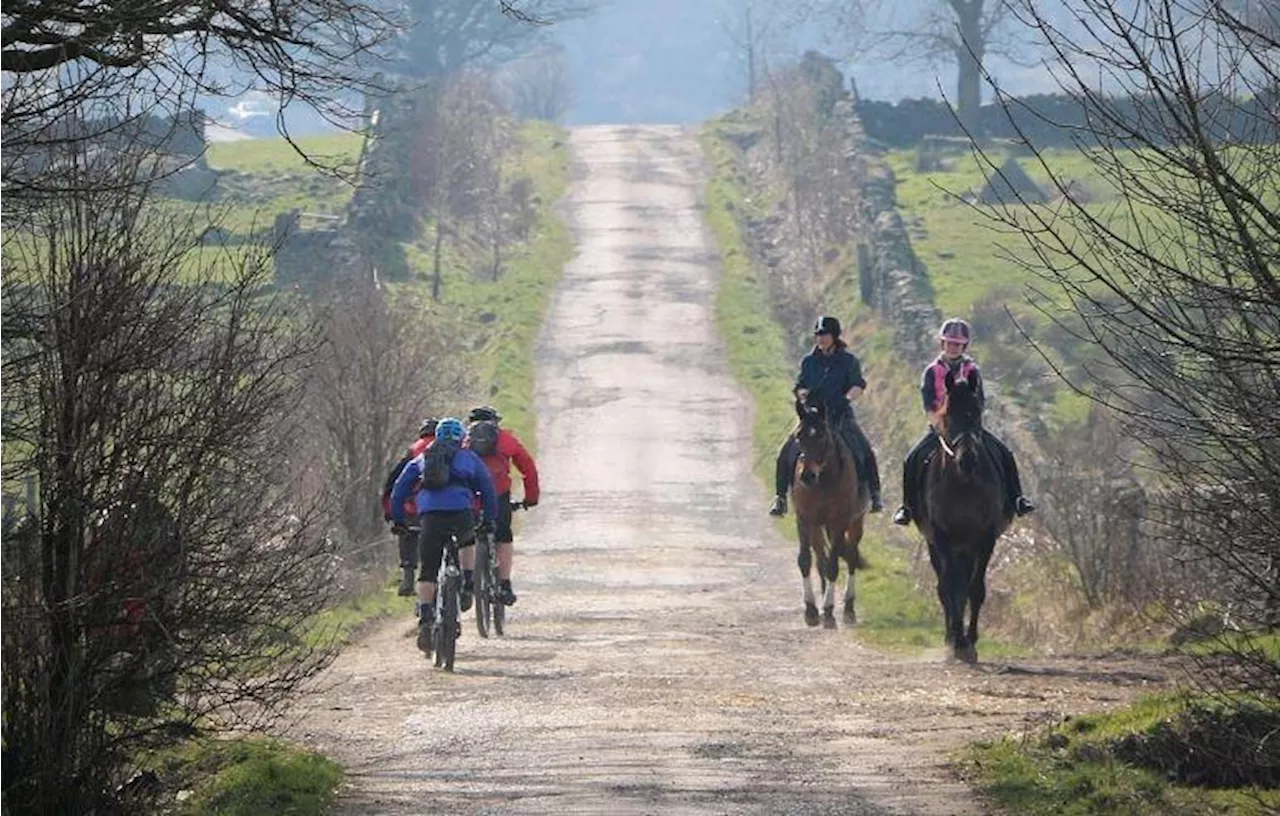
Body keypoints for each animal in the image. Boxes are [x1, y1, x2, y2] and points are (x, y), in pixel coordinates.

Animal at [788, 399, 870, 634]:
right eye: (799, 435)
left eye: (823, 436)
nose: (806, 476)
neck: (823, 480)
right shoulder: (804, 518)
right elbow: (805, 561)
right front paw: (811, 611)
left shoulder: (840, 521)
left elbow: (834, 566)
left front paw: (830, 612)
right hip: (818, 526)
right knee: (820, 559)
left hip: (854, 523)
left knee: (851, 557)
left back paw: (848, 609)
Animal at [916, 370, 1013, 665]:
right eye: (948, 414)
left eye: (977, 412)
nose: (967, 460)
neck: (963, 483)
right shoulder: (942, 537)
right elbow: (950, 587)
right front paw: (958, 641)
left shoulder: (985, 538)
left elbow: (975, 589)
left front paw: (970, 642)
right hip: (936, 545)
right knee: (945, 588)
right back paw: (950, 638)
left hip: (967, 548)